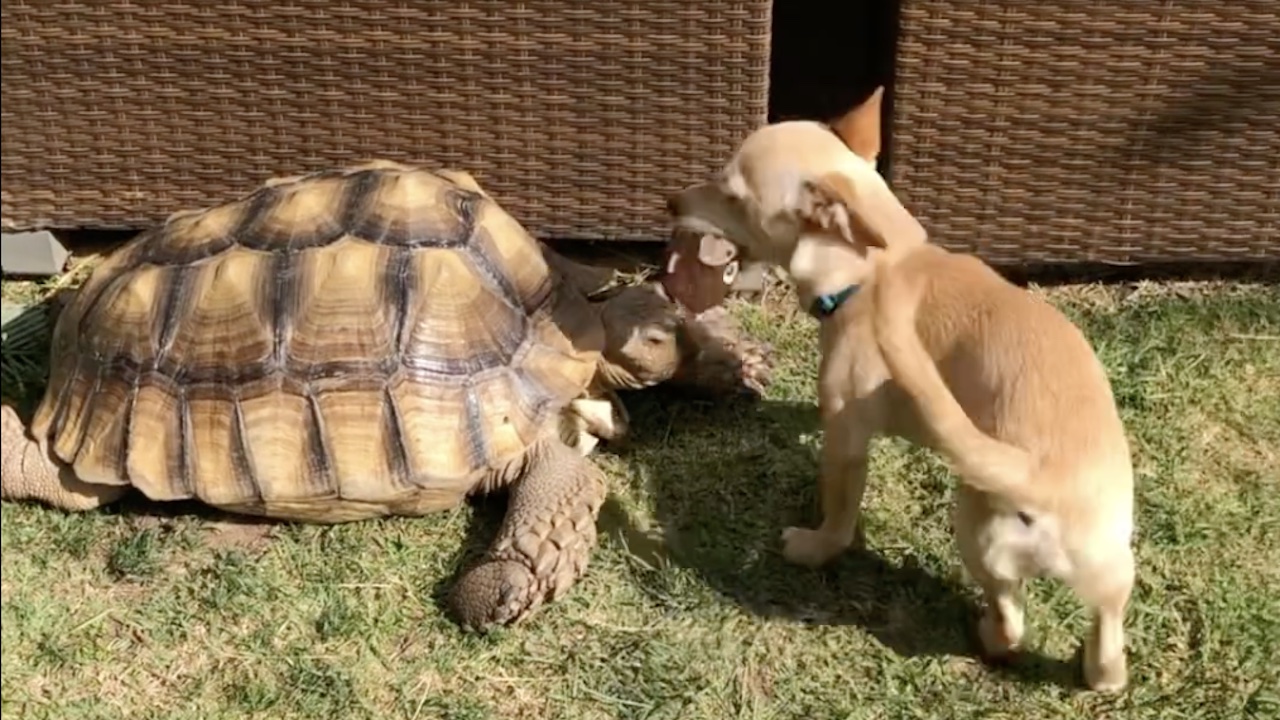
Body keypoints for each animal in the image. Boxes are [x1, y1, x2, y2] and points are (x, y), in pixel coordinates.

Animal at [660, 88, 1141, 691]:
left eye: (731, 195)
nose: (670, 200)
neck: (877, 264)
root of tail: (1042, 479)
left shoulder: (845, 437)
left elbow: (839, 514)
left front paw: (814, 544)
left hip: (978, 534)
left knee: (1011, 622)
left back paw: (986, 636)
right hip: (1112, 571)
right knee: (1107, 646)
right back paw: (1098, 671)